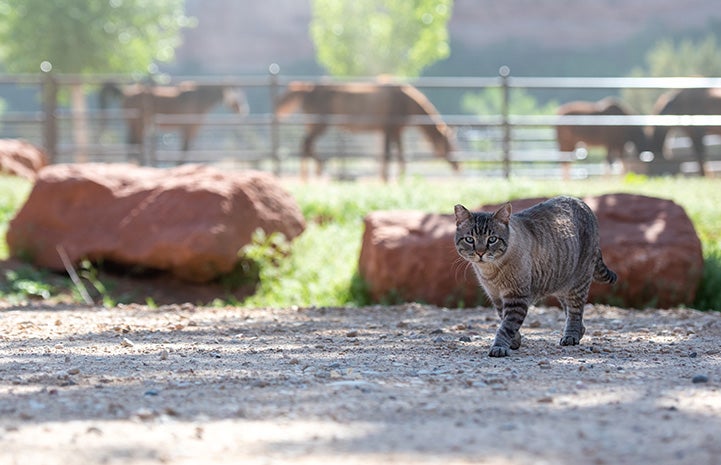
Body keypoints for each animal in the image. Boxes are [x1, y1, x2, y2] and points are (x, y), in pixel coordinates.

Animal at [99, 80, 248, 164]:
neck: (198, 98)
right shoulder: (190, 129)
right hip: (136, 124)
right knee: (135, 144)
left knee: (135, 144)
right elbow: (184, 150)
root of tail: (126, 92)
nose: (243, 110)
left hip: (138, 125)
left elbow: (185, 149)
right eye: (234, 93)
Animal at [272, 80, 458, 181]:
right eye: (450, 144)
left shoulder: (395, 131)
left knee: (306, 145)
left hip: (312, 124)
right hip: (319, 123)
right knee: (306, 143)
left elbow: (399, 154)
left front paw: (401, 177)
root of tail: (308, 88)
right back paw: (316, 169)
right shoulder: (389, 129)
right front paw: (387, 178)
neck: (405, 100)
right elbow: (389, 155)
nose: (457, 165)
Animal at [452, 195, 616, 356]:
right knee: (572, 313)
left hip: (578, 283)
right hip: (562, 283)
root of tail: (581, 202)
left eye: (492, 239)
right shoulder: (497, 298)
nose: (480, 253)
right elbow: (504, 319)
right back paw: (578, 332)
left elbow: (506, 326)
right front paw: (514, 341)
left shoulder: (516, 297)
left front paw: (499, 346)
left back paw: (571, 336)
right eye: (469, 239)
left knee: (575, 312)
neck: (490, 271)